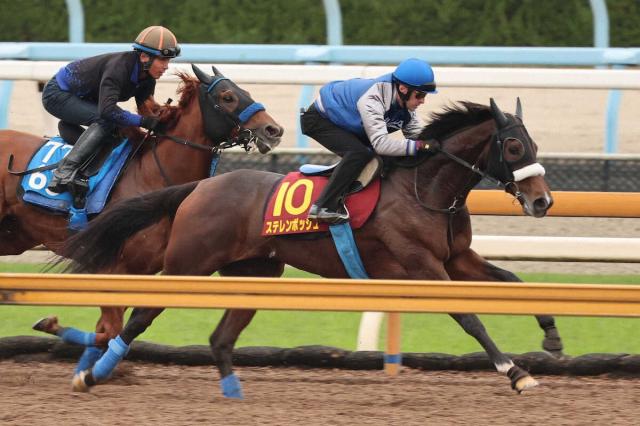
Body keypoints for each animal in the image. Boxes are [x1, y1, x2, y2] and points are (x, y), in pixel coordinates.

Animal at [3, 64, 283, 373]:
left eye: (246, 91)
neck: (152, 176)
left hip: (14, 236)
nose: (273, 130)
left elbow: (107, 332)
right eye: (227, 97)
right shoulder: (112, 268)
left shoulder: (142, 272)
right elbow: (112, 331)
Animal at [61, 99, 559, 397]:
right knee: (140, 316)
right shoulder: (422, 265)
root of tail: (199, 186)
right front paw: (515, 372)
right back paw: (91, 374)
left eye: (534, 143)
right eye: (513, 147)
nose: (542, 201)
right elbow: (469, 317)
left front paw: (551, 336)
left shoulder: (457, 259)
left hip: (255, 274)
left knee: (220, 336)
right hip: (188, 266)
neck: (427, 186)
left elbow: (514, 282)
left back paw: (233, 392)